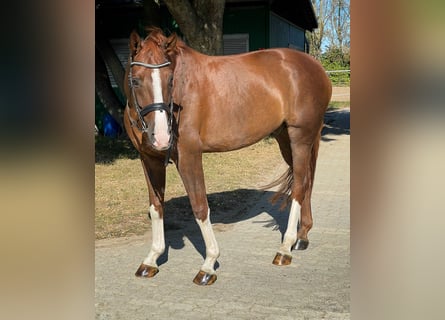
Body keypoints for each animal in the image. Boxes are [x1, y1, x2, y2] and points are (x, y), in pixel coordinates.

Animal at [121, 29, 330, 284]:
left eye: (171, 80)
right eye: (135, 80)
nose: (161, 137)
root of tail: (315, 66)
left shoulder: (189, 157)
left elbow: (200, 207)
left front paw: (209, 264)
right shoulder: (149, 160)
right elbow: (156, 207)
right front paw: (152, 259)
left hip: (300, 137)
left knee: (299, 186)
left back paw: (285, 248)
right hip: (285, 138)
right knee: (306, 181)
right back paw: (301, 238)